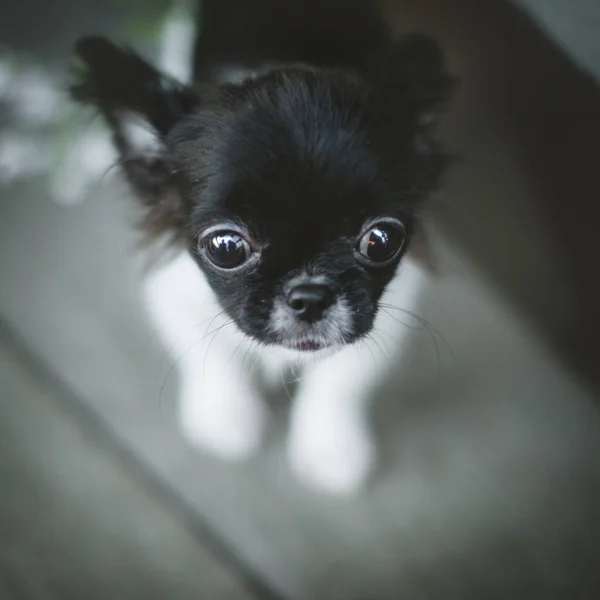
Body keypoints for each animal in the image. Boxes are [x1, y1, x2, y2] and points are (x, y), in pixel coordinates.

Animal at [71, 0, 450, 494]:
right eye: (226, 247)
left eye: (381, 239)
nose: (310, 295)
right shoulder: (176, 292)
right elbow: (214, 358)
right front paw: (227, 420)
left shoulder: (389, 313)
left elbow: (341, 382)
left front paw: (330, 447)